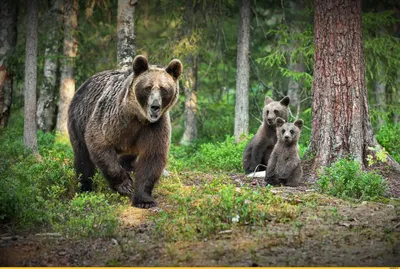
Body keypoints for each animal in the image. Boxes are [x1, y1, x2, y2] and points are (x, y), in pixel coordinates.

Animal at [67, 54, 183, 207]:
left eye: (164, 89)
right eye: (147, 87)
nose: (155, 106)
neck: (139, 116)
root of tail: (85, 84)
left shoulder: (154, 126)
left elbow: (152, 157)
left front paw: (144, 199)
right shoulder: (113, 119)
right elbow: (99, 142)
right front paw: (125, 185)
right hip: (78, 118)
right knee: (82, 157)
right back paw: (85, 188)